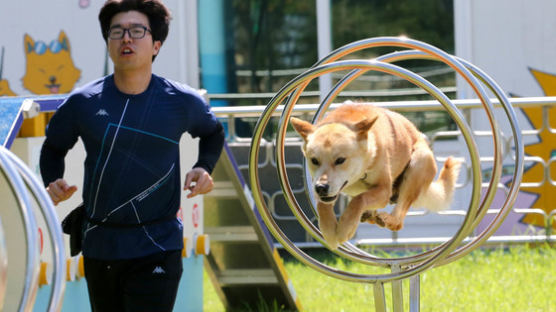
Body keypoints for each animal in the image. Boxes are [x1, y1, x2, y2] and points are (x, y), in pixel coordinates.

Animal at [292, 103, 460, 250]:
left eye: (340, 160)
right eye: (314, 160)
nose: (321, 188)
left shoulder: (384, 189)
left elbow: (359, 200)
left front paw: (345, 228)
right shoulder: (320, 185)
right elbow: (323, 205)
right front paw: (329, 231)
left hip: (420, 161)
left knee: (398, 219)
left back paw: (388, 219)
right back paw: (369, 215)